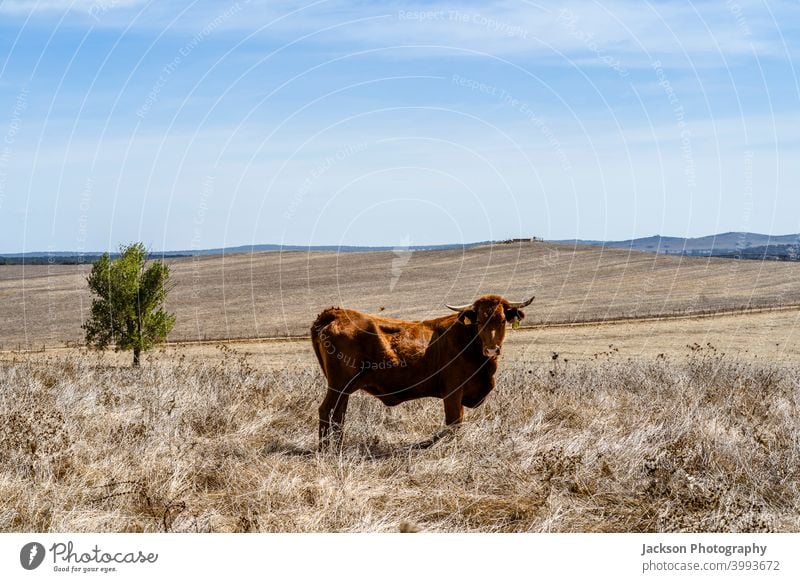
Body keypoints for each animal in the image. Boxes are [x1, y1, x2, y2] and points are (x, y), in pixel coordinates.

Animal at [310, 296, 532, 452]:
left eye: (502, 320)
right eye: (479, 321)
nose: (492, 349)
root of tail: (336, 313)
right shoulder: (453, 392)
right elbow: (454, 422)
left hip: (344, 389)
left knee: (338, 414)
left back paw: (337, 448)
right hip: (338, 385)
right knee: (327, 411)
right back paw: (326, 451)